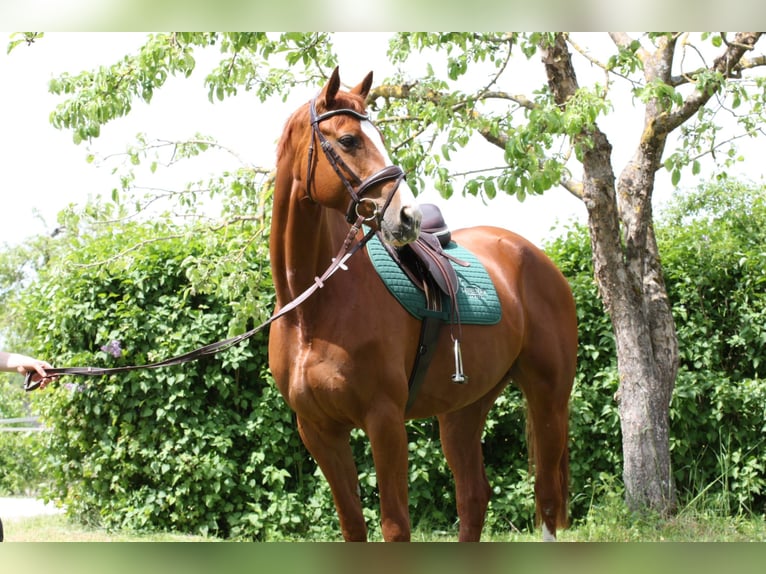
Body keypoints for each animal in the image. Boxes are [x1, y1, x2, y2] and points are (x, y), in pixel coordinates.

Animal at [268, 67, 577, 542]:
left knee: (544, 497)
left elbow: (396, 526)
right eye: (349, 140)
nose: (407, 217)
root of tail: (536, 258)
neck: (311, 313)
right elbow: (353, 527)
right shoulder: (319, 431)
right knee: (473, 497)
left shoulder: (385, 421)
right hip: (463, 411)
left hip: (549, 398)